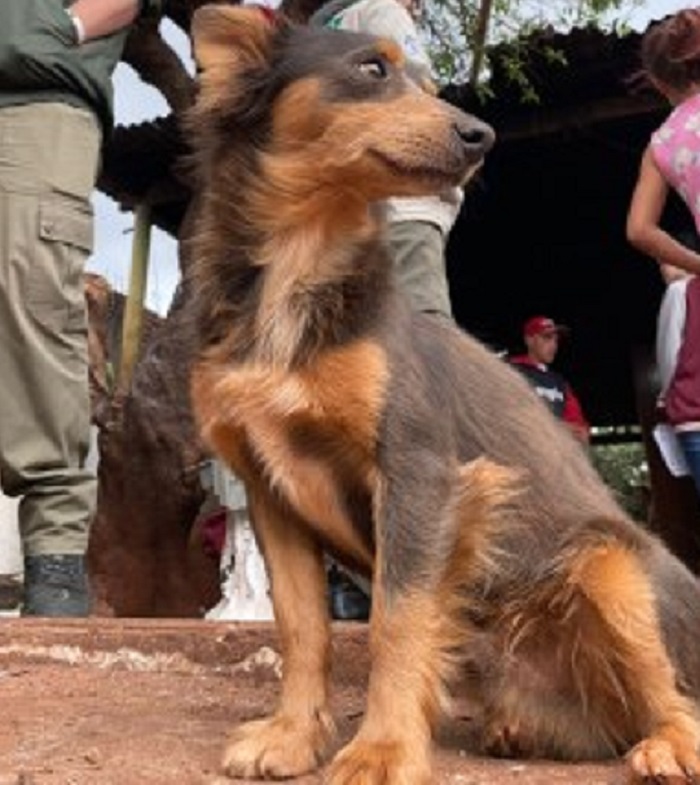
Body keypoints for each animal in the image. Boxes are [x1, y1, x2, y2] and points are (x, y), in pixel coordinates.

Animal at [185, 4, 700, 776]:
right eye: (372, 68)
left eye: (431, 84)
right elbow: (303, 627)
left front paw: (383, 750)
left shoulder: (417, 471)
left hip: (612, 568)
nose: (481, 136)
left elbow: (396, 620)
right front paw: (291, 736)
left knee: (674, 694)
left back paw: (670, 744)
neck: (304, 259)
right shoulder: (270, 491)